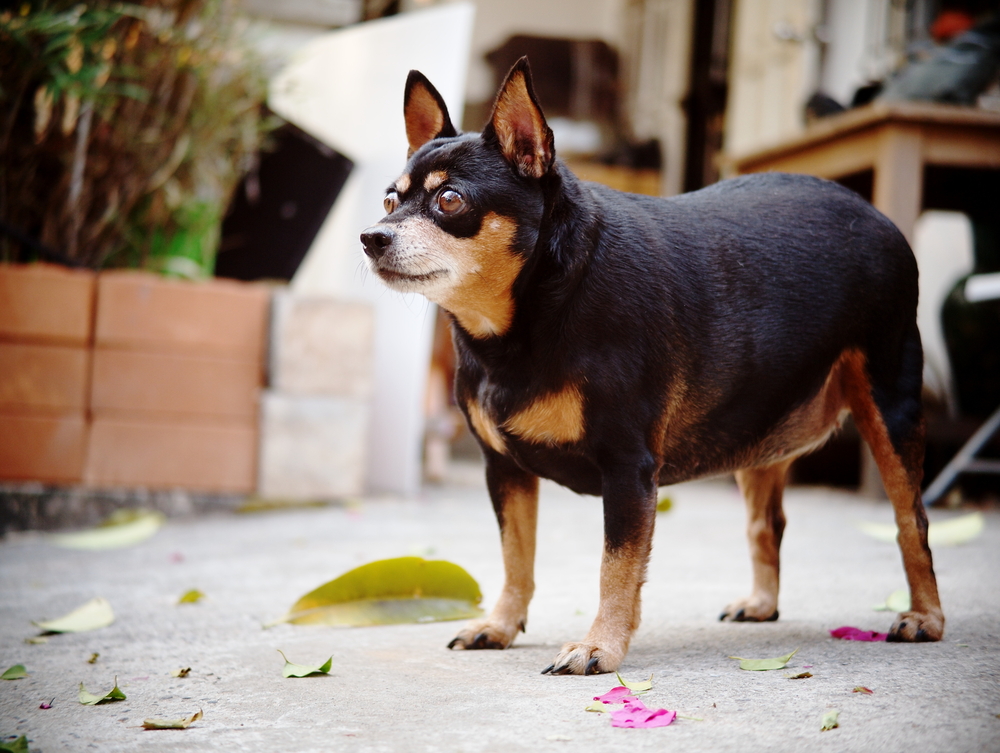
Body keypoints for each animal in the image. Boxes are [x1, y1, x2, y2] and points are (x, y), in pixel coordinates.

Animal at [362, 55, 944, 672]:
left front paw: (599, 646)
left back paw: (925, 617)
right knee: (767, 524)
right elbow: (516, 557)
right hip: (756, 433)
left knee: (912, 520)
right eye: (390, 201)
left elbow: (616, 568)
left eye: (449, 201)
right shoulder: (505, 470)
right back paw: (762, 604)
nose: (371, 237)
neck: (542, 301)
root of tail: (871, 213)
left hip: (889, 407)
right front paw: (500, 625)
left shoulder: (628, 469)